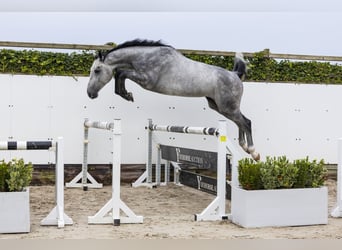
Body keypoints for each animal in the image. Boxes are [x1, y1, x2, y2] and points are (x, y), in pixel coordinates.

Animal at [87, 39, 260, 160]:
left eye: (97, 70)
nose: (90, 94)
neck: (145, 57)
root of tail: (235, 75)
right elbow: (120, 73)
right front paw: (126, 94)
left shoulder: (147, 80)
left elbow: (121, 73)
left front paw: (127, 95)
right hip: (219, 107)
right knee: (240, 122)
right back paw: (245, 147)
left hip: (227, 107)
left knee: (246, 122)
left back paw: (254, 153)